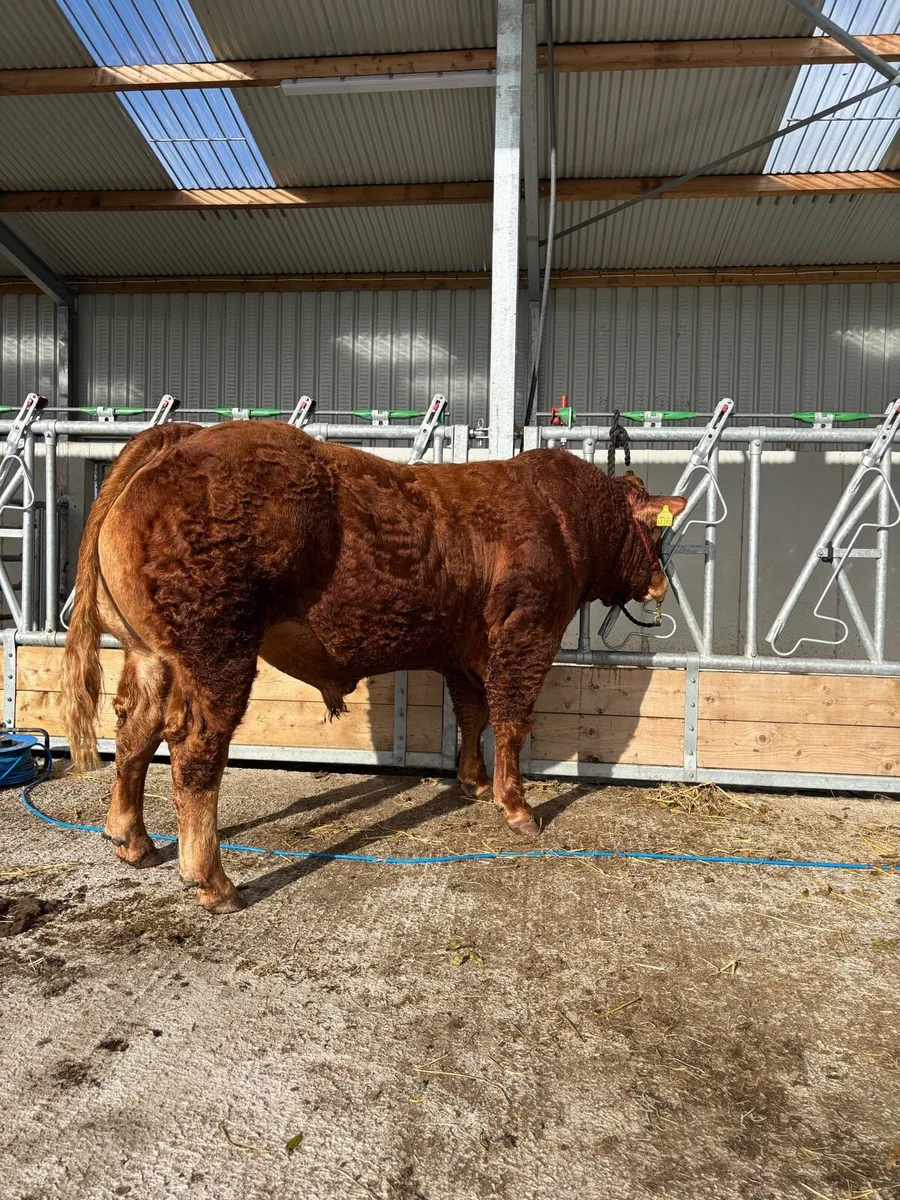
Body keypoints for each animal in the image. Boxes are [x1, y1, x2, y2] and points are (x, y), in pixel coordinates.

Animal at [62, 421, 686, 913]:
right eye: (655, 533)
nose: (660, 584)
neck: (563, 518)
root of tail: (184, 436)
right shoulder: (526, 635)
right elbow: (511, 720)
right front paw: (516, 806)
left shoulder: (464, 652)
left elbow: (473, 715)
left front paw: (474, 781)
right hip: (218, 651)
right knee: (195, 747)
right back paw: (214, 881)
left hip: (149, 654)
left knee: (135, 727)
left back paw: (132, 840)